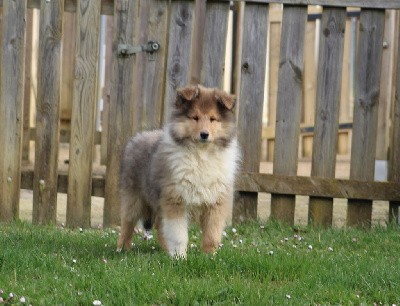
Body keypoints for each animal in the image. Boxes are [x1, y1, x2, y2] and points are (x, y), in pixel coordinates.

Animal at [117, 85, 239, 256]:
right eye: (195, 117)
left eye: (213, 119)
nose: (204, 134)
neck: (201, 156)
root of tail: (138, 137)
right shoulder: (176, 200)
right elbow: (179, 234)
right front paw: (180, 257)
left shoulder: (215, 203)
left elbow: (212, 235)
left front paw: (209, 256)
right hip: (134, 198)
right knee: (127, 224)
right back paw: (122, 249)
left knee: (160, 226)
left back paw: (165, 251)